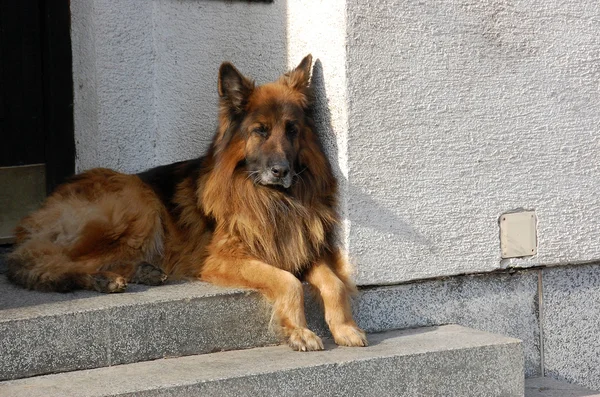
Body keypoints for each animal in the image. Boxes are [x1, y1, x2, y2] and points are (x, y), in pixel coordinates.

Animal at [7, 55, 368, 350]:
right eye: (260, 131)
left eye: (292, 130)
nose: (281, 171)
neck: (272, 199)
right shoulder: (224, 258)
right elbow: (289, 282)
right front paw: (300, 332)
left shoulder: (302, 248)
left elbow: (334, 284)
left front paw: (345, 328)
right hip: (137, 201)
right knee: (41, 262)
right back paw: (102, 278)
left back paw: (140, 271)